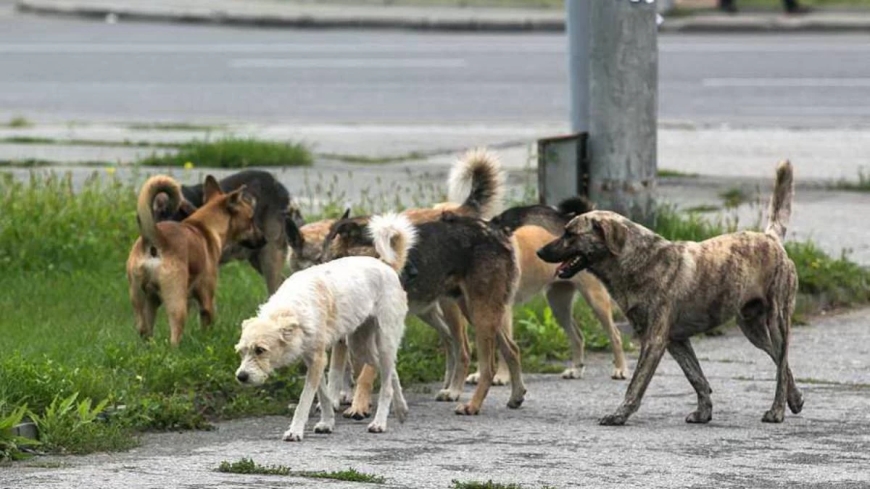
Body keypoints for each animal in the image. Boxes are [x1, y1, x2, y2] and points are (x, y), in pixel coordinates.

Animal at [127, 173, 258, 346]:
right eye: (251, 220)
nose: (264, 239)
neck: (205, 226)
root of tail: (155, 239)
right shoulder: (207, 300)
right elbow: (207, 323)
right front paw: (207, 341)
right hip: (176, 302)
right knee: (174, 334)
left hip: (142, 300)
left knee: (144, 330)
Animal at [235, 212, 418, 440]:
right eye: (241, 352)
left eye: (260, 350)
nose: (241, 377)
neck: (292, 309)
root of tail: (386, 265)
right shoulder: (314, 359)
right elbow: (323, 396)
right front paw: (327, 423)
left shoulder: (317, 359)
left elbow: (305, 399)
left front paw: (295, 430)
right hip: (360, 346)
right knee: (390, 371)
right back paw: (401, 409)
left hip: (383, 341)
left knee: (386, 386)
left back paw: (379, 422)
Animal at [540, 162, 808, 426]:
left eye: (570, 233)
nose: (539, 251)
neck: (637, 260)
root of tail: (771, 238)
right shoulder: (676, 341)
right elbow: (697, 377)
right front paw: (703, 412)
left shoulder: (654, 340)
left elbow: (636, 384)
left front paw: (619, 414)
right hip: (752, 329)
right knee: (781, 363)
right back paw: (794, 399)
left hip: (777, 321)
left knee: (781, 364)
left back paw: (777, 411)